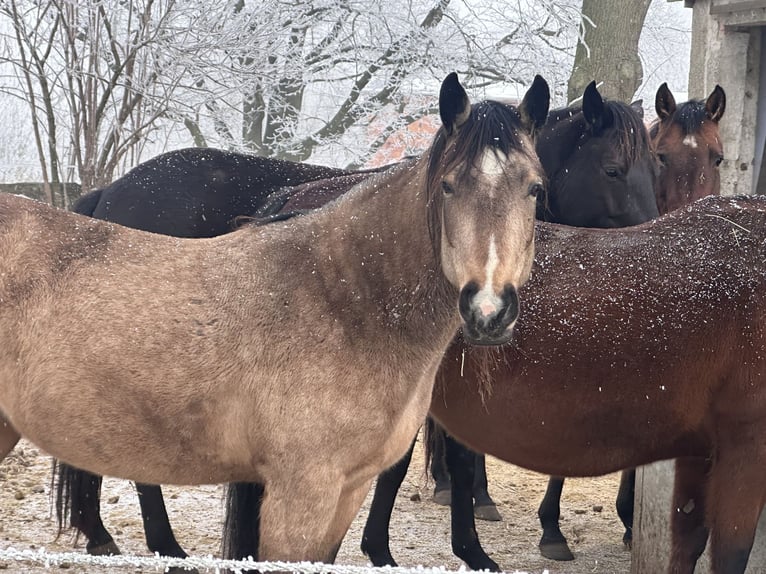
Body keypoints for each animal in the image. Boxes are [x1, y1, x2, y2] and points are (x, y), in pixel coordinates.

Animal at [0, 71, 548, 565]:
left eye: (535, 190)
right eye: (449, 186)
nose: (489, 310)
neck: (343, 303)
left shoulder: (348, 490)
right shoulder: (300, 492)